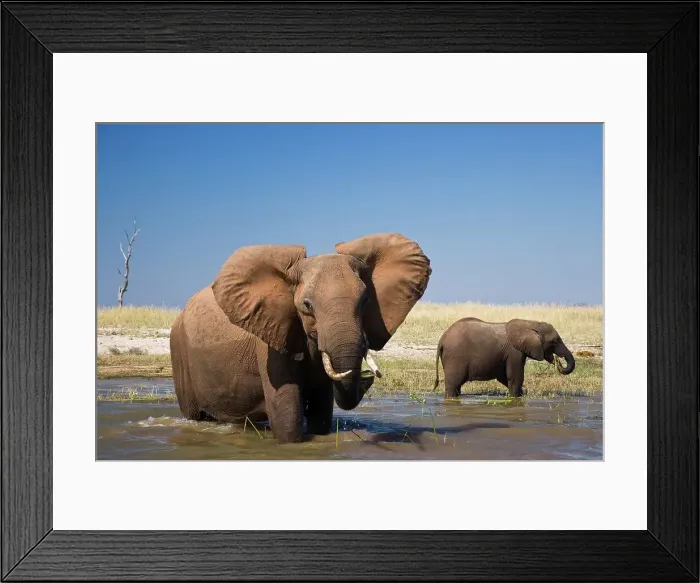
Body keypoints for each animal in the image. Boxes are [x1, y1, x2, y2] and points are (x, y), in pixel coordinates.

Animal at [170, 232, 431, 444]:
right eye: (307, 306)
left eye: (366, 300)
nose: (367, 377)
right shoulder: (270, 341)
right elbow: (288, 421)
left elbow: (321, 414)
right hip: (178, 353)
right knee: (195, 416)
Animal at [433, 318, 575, 398]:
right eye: (554, 341)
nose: (557, 359)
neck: (530, 323)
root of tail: (442, 338)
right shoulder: (514, 352)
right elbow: (515, 377)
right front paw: (516, 399)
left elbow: (504, 377)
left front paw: (522, 395)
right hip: (455, 357)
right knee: (453, 385)